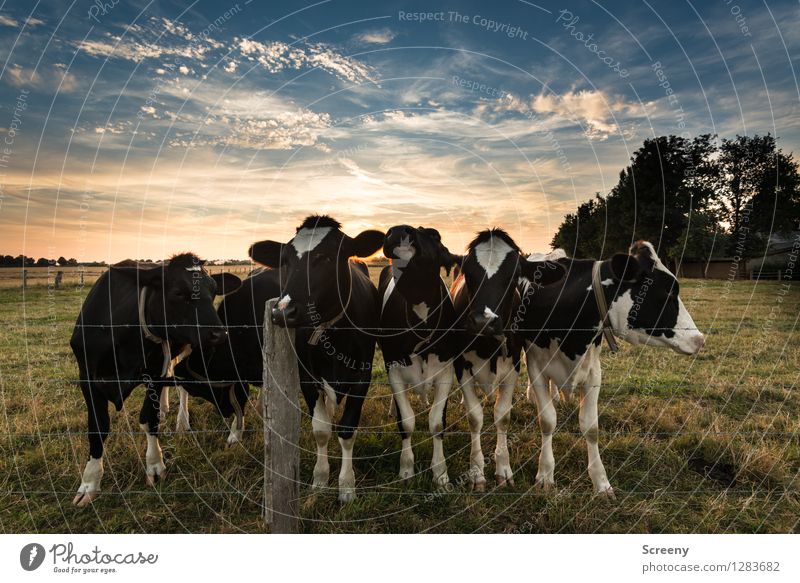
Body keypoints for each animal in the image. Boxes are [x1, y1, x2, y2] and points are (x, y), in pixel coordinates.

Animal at [69, 256, 241, 506]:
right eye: (179, 293)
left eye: (214, 292)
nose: (220, 334)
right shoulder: (87, 379)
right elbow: (97, 428)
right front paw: (90, 482)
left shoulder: (155, 375)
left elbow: (148, 418)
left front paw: (155, 466)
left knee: (183, 386)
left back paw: (184, 421)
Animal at [250, 214, 388, 502]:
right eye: (285, 261)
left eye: (327, 258)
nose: (283, 312)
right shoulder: (306, 377)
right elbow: (321, 430)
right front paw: (321, 479)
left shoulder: (363, 375)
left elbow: (346, 429)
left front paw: (346, 486)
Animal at [378, 226, 460, 486]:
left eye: (435, 235)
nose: (398, 230)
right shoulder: (393, 366)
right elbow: (406, 421)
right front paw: (406, 469)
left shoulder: (446, 369)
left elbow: (437, 422)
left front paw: (440, 473)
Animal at [450, 230, 568, 490]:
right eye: (469, 273)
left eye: (513, 276)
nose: (483, 321)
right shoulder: (460, 365)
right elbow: (475, 417)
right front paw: (477, 472)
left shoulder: (512, 365)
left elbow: (502, 416)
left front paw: (503, 469)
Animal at [524, 241, 708, 498]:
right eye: (668, 293)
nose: (700, 340)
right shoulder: (536, 367)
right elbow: (548, 420)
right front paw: (545, 475)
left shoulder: (593, 372)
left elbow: (591, 427)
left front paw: (600, 482)